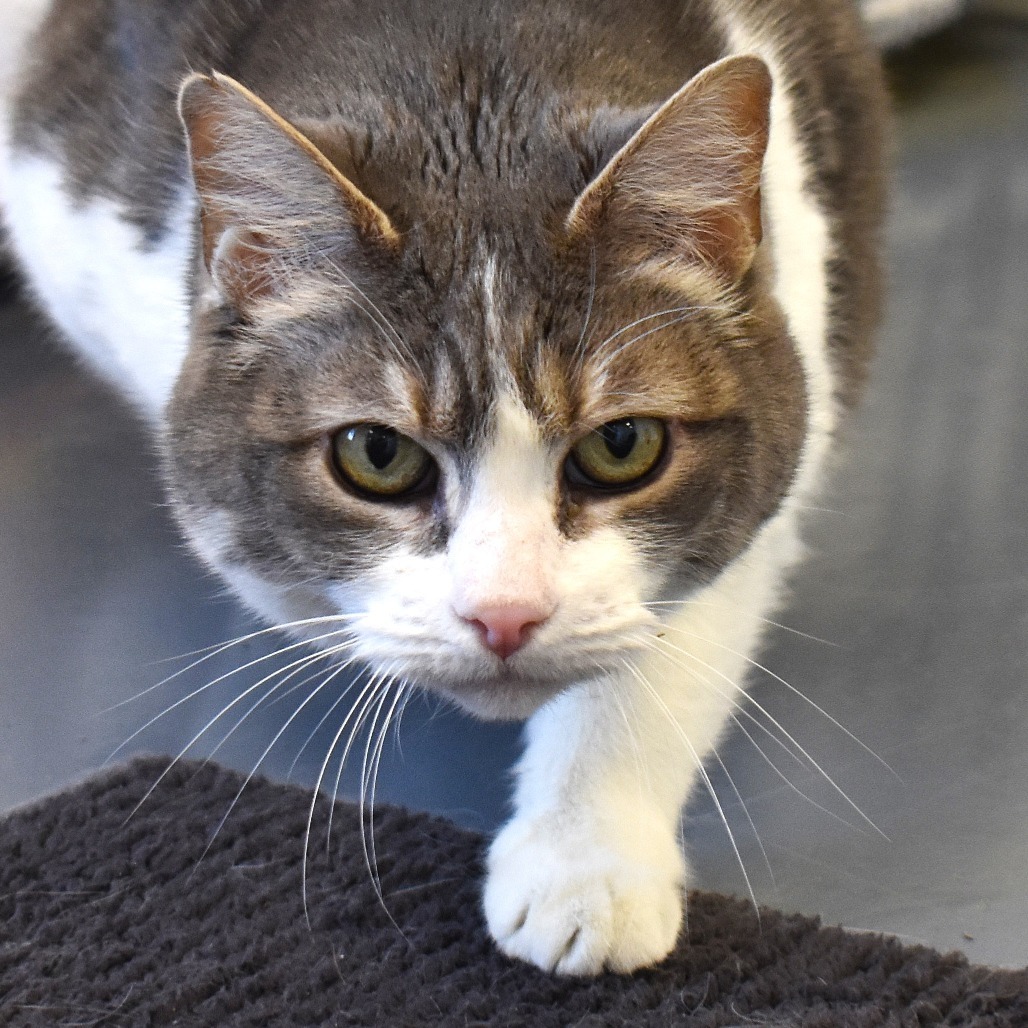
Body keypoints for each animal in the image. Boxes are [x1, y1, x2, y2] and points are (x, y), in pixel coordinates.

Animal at [0, 0, 884, 970]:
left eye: (623, 444)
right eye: (377, 456)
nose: (505, 615)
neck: (470, 69)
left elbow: (676, 629)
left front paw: (584, 859)